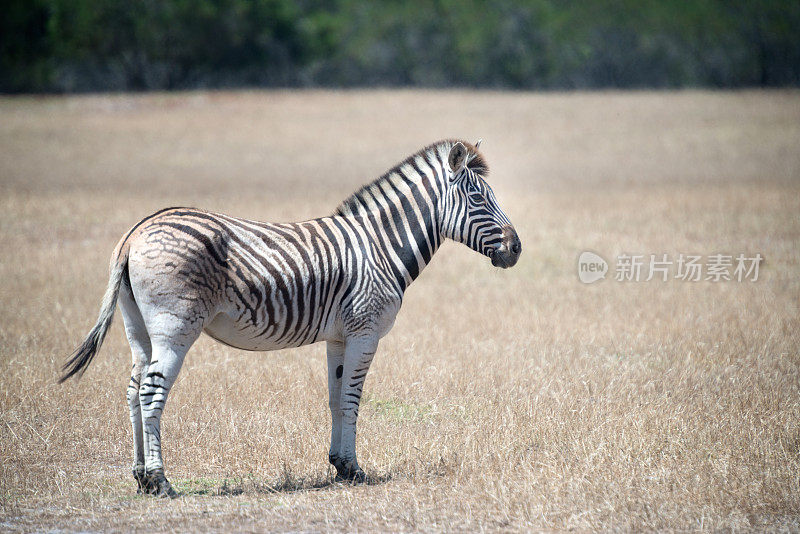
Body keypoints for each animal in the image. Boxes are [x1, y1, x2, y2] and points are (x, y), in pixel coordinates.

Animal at [62, 138, 524, 498]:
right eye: (479, 199)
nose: (517, 248)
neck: (380, 246)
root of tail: (137, 231)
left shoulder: (339, 336)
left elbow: (336, 398)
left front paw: (340, 465)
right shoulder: (365, 330)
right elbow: (353, 399)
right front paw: (356, 470)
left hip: (138, 329)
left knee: (131, 390)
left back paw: (140, 477)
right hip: (174, 326)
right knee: (150, 392)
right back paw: (160, 481)